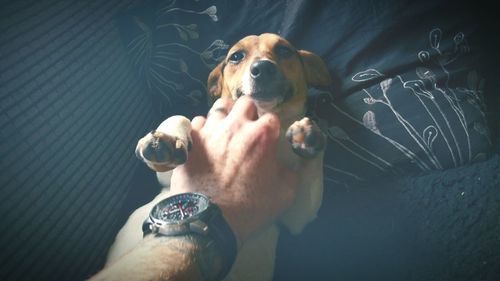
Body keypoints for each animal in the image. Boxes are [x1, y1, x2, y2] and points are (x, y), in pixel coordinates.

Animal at [105, 33, 332, 280]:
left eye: (284, 50)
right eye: (236, 56)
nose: (262, 68)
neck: (262, 118)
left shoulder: (295, 217)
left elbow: (306, 195)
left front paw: (309, 136)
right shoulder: (167, 180)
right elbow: (180, 118)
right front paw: (165, 140)